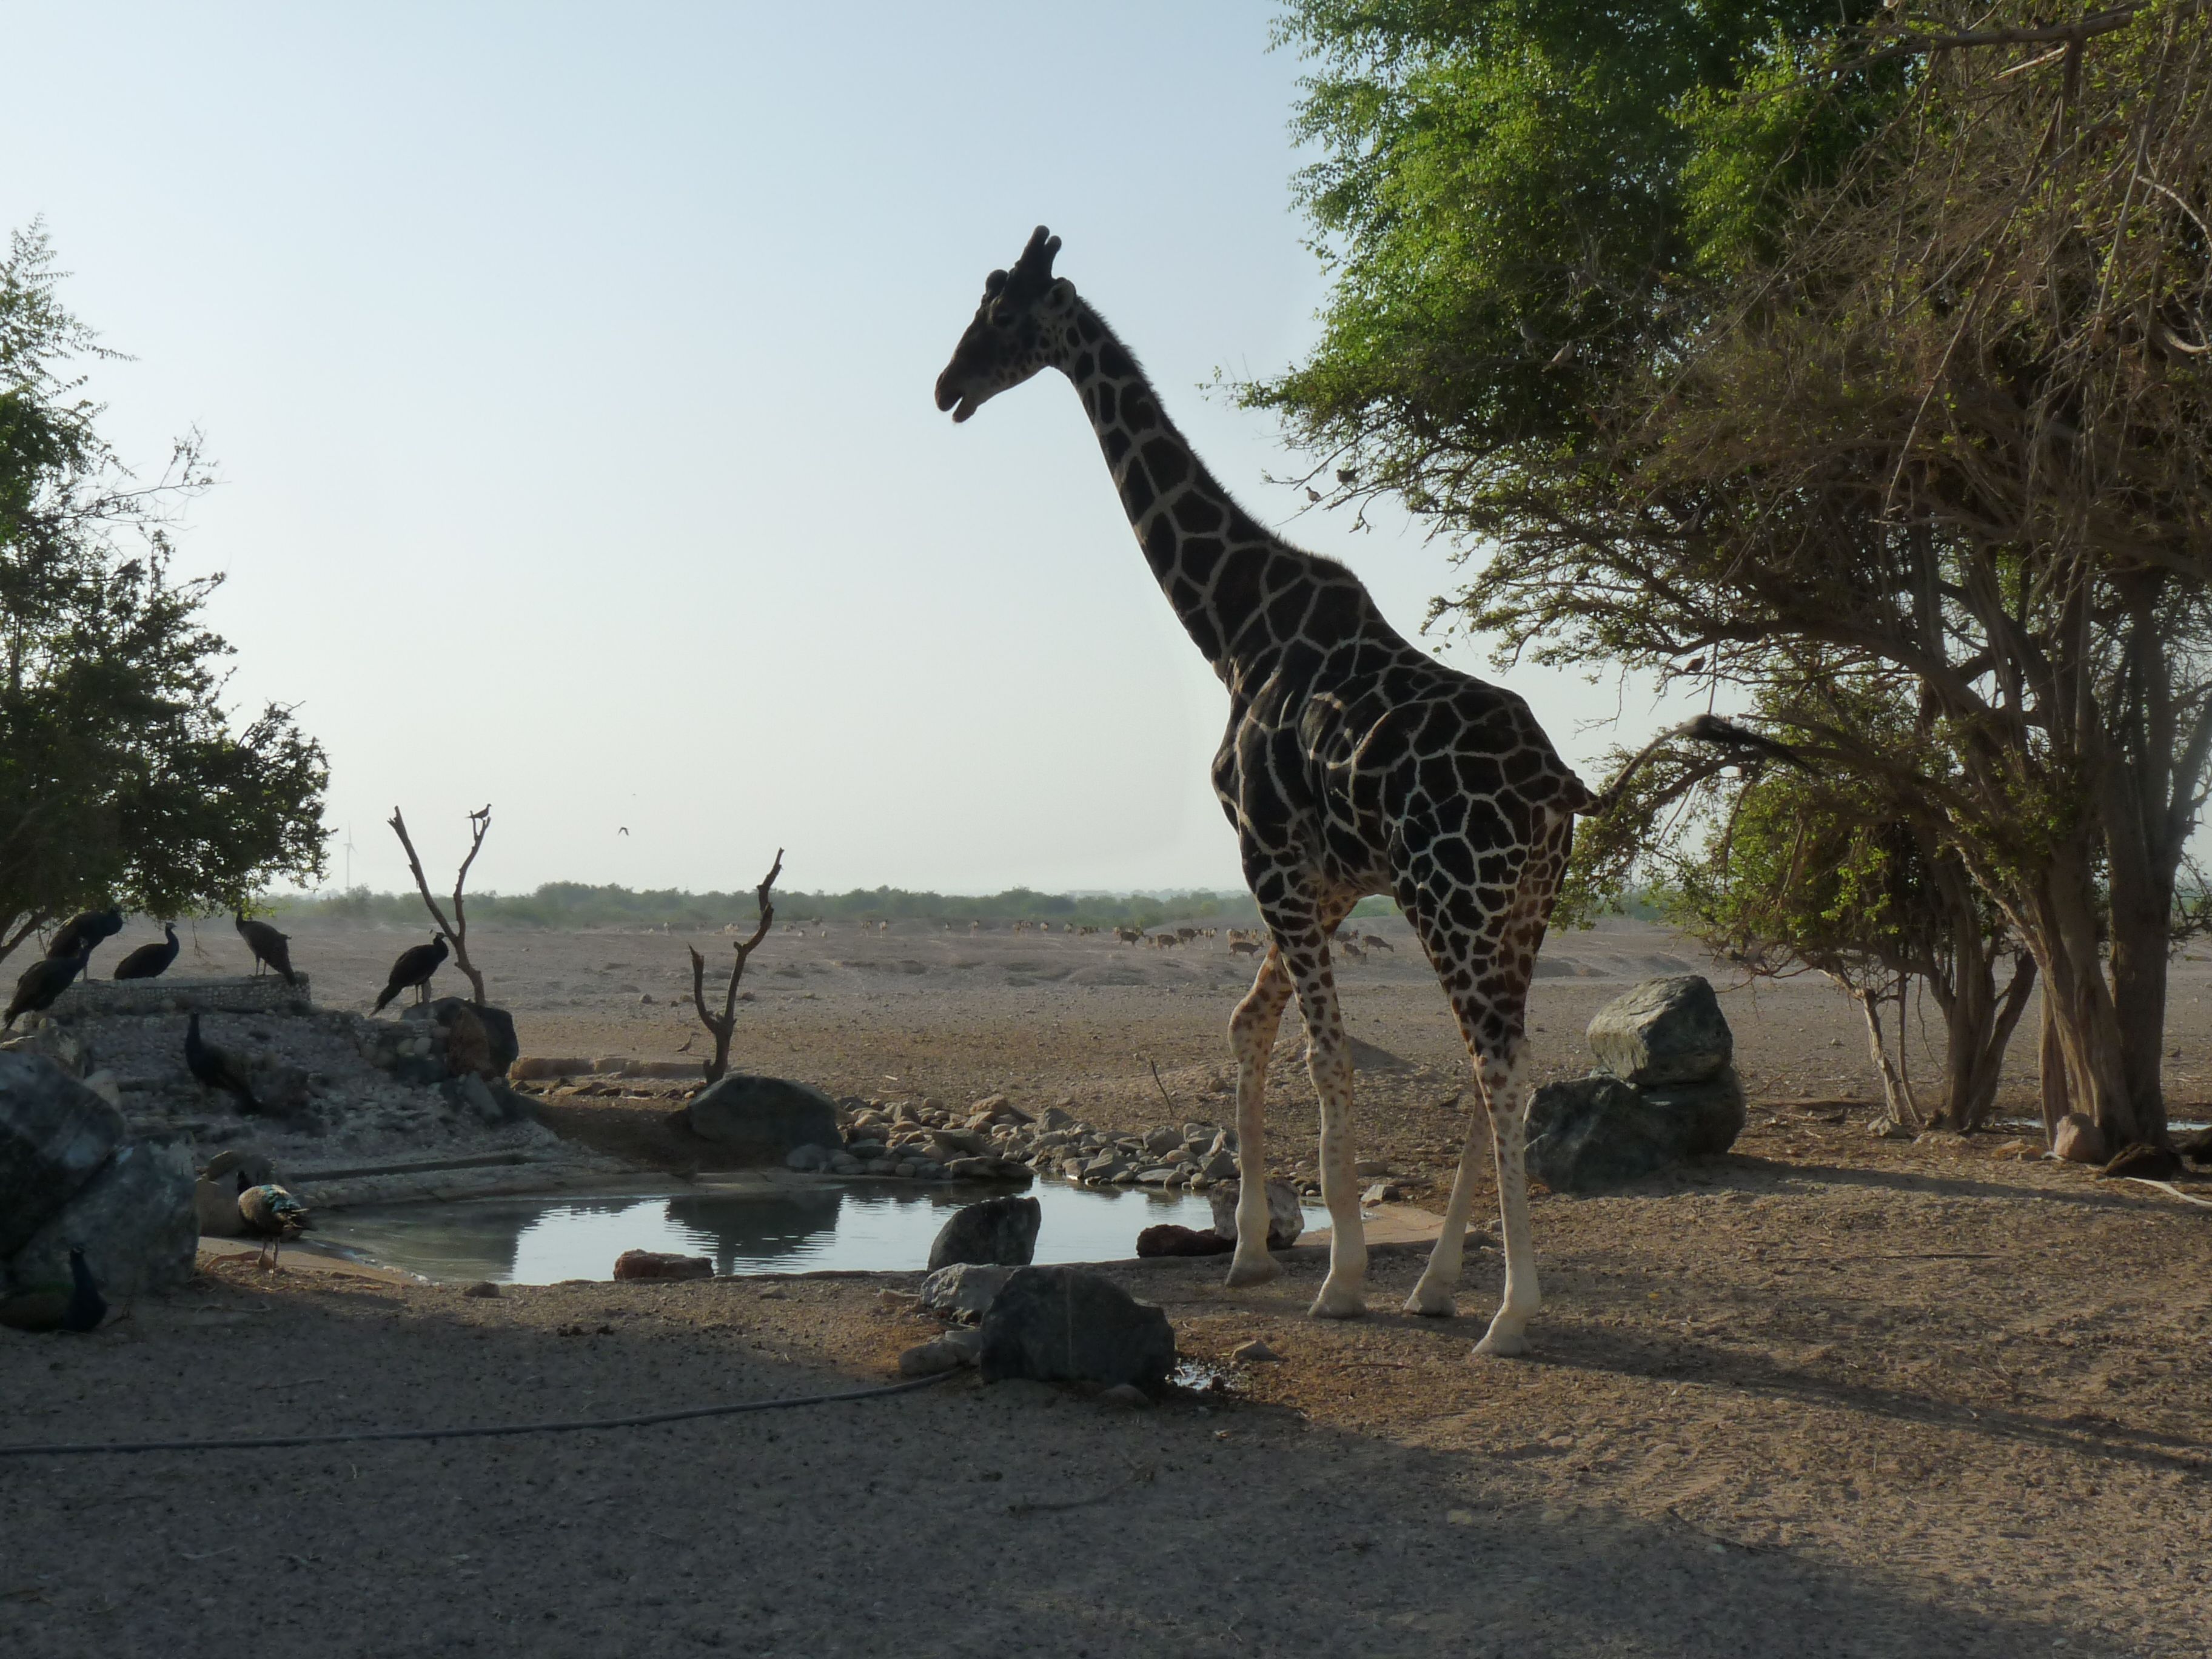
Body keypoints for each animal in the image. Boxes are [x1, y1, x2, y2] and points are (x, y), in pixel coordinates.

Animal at [933, 227, 1592, 1353]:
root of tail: (1558, 791)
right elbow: (1249, 1028)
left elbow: (1321, 1059)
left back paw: (1508, 1315)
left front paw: (1340, 1279)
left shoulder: (1271, 856)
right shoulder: (1322, 878)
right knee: (1484, 1066)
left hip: (1455, 900)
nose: (945, 388)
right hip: (1519, 911)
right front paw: (1248, 1254)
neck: (1231, 628)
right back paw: (1439, 1286)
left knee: (1501, 1068)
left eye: (1004, 316)